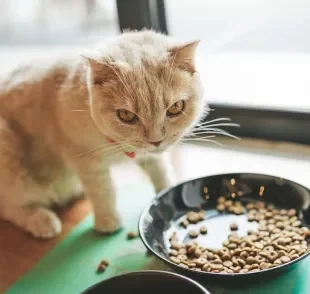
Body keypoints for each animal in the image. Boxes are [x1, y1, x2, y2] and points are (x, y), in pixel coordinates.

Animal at [0, 29, 208, 238]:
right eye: (126, 115)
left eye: (175, 107)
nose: (156, 140)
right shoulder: (84, 158)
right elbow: (102, 190)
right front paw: (107, 220)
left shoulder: (150, 156)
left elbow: (161, 171)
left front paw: (167, 192)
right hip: (10, 156)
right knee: (11, 206)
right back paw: (42, 220)